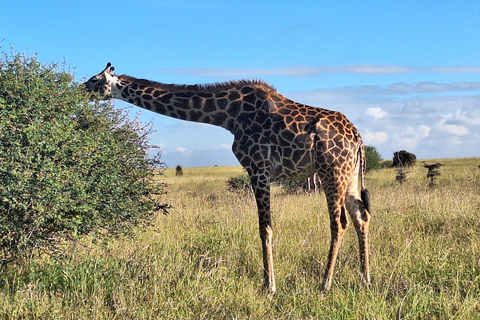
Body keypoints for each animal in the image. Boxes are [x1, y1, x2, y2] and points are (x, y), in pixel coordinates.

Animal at [85, 62, 372, 296]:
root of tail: (357, 138)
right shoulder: (259, 169)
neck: (227, 115)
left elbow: (265, 228)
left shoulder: (258, 166)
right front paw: (269, 284)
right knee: (361, 216)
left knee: (339, 222)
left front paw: (269, 287)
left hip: (331, 170)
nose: (80, 90)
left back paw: (325, 284)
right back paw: (365, 280)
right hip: (350, 175)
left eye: (95, 79)